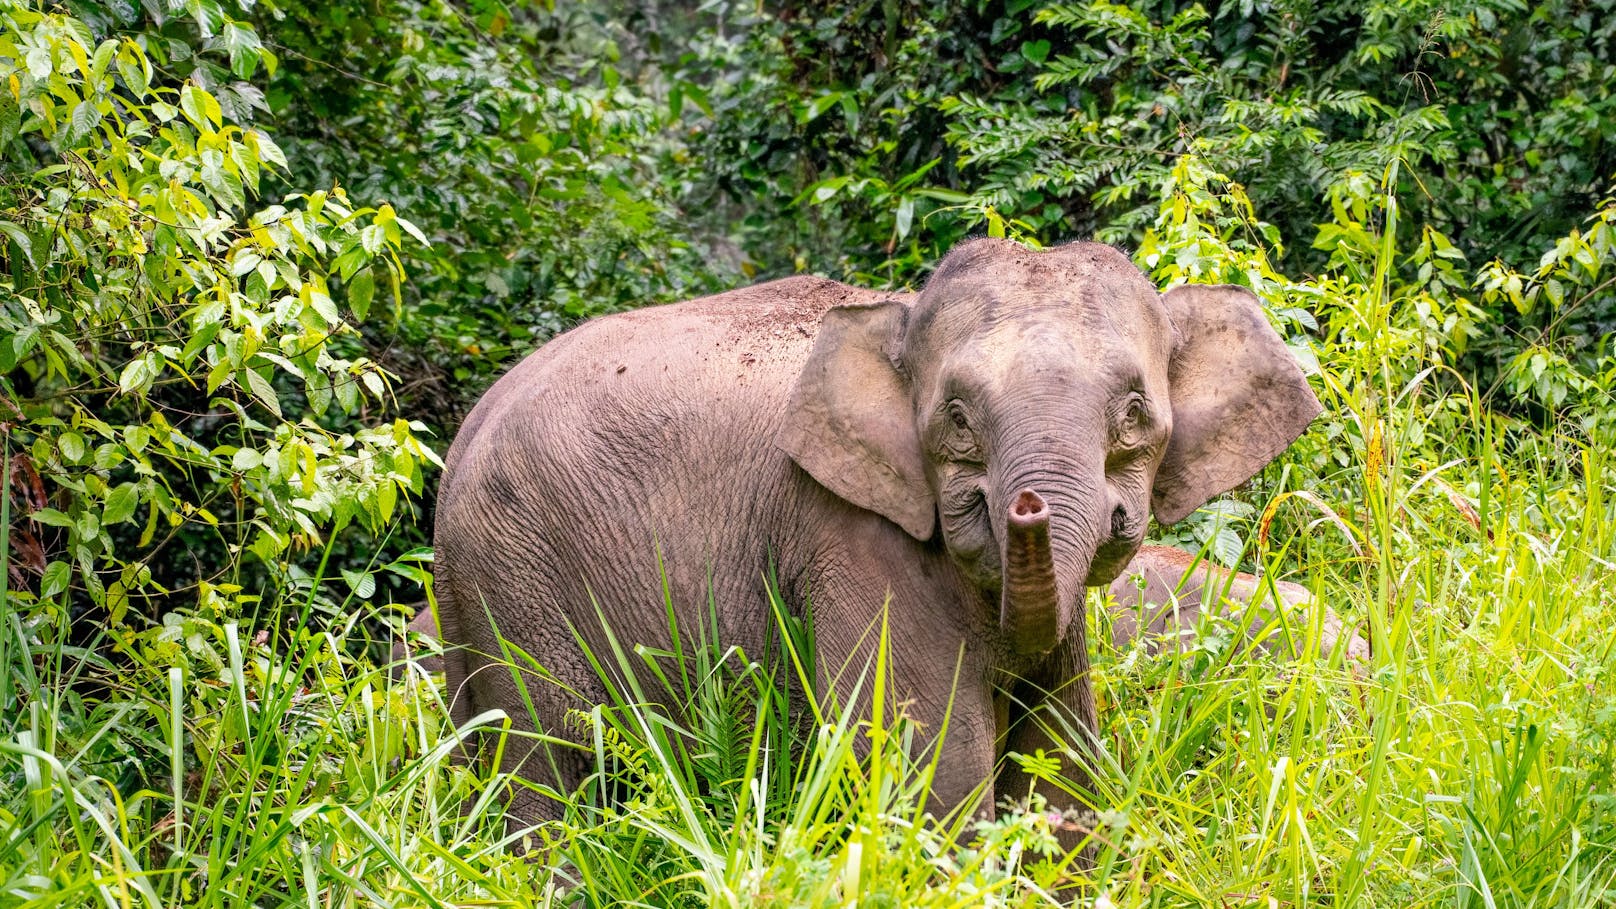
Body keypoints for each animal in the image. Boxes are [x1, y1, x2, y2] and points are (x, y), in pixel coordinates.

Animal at [429, 237, 1325, 834]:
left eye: (1135, 412)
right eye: (957, 419)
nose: (1026, 507)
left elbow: (1061, 758)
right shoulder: (851, 533)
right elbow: (932, 766)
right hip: (512, 577)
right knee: (547, 771)